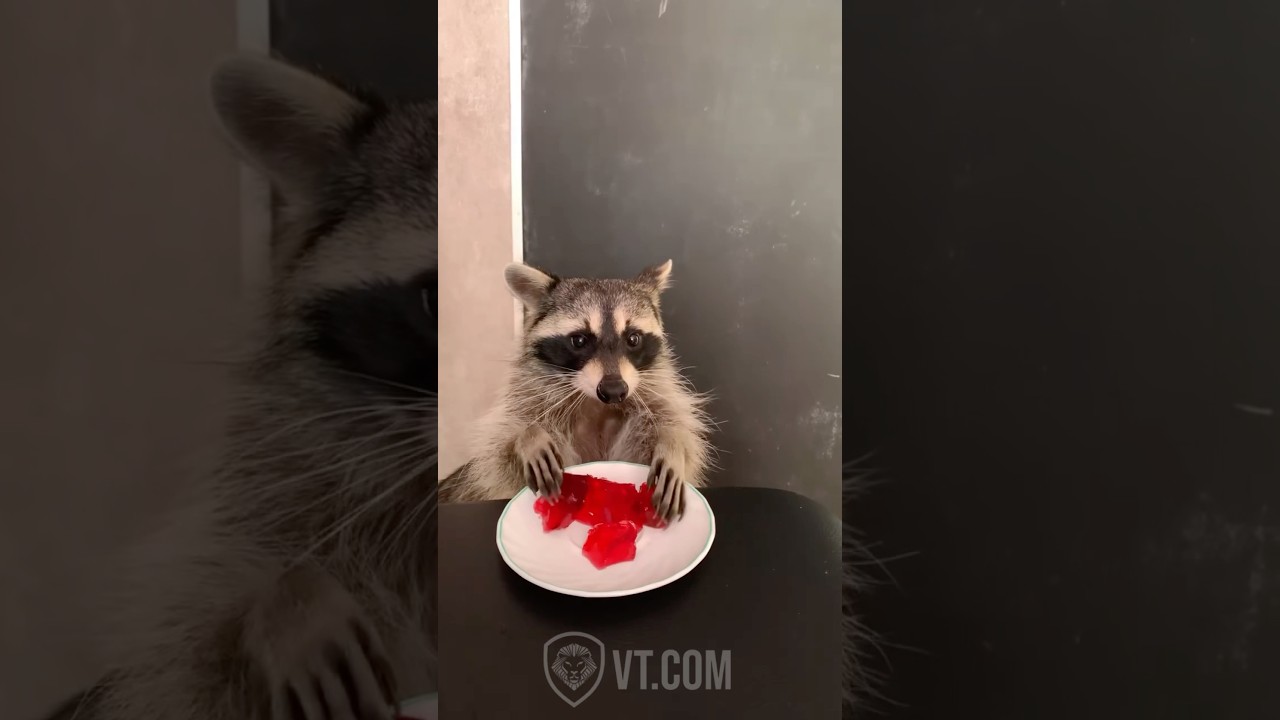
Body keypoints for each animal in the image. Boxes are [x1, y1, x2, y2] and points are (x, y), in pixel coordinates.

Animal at [440, 261, 712, 523]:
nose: (614, 390)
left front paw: (672, 444)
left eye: (633, 339)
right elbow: (501, 455)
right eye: (579, 340)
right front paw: (527, 437)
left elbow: (668, 425)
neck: (596, 404)